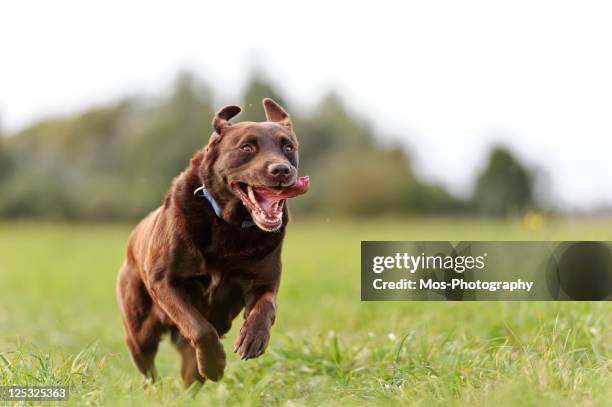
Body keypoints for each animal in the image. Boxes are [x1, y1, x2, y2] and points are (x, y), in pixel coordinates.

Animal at [116, 99, 310, 388]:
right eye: (246, 147)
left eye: (288, 147)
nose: (281, 170)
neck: (229, 226)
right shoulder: (164, 281)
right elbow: (199, 328)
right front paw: (215, 364)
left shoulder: (264, 281)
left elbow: (266, 306)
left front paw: (253, 338)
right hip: (138, 331)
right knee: (149, 369)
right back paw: (157, 388)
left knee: (189, 373)